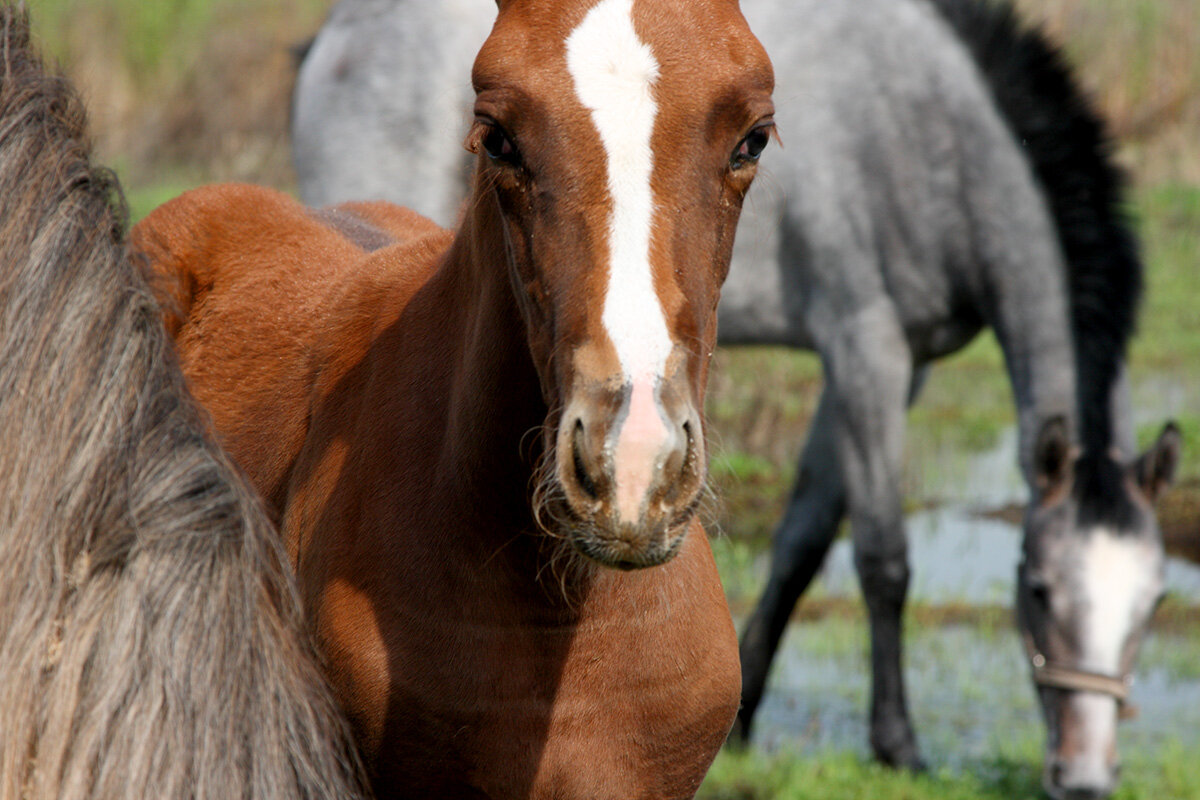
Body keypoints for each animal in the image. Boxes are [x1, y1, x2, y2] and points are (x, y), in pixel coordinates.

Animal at [292, 3, 1180, 796]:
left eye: (1152, 601)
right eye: (1041, 590)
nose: (1085, 777)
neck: (934, 130)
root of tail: (332, 36)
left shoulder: (896, 365)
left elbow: (804, 538)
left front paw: (748, 709)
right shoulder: (866, 346)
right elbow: (882, 557)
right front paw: (897, 744)